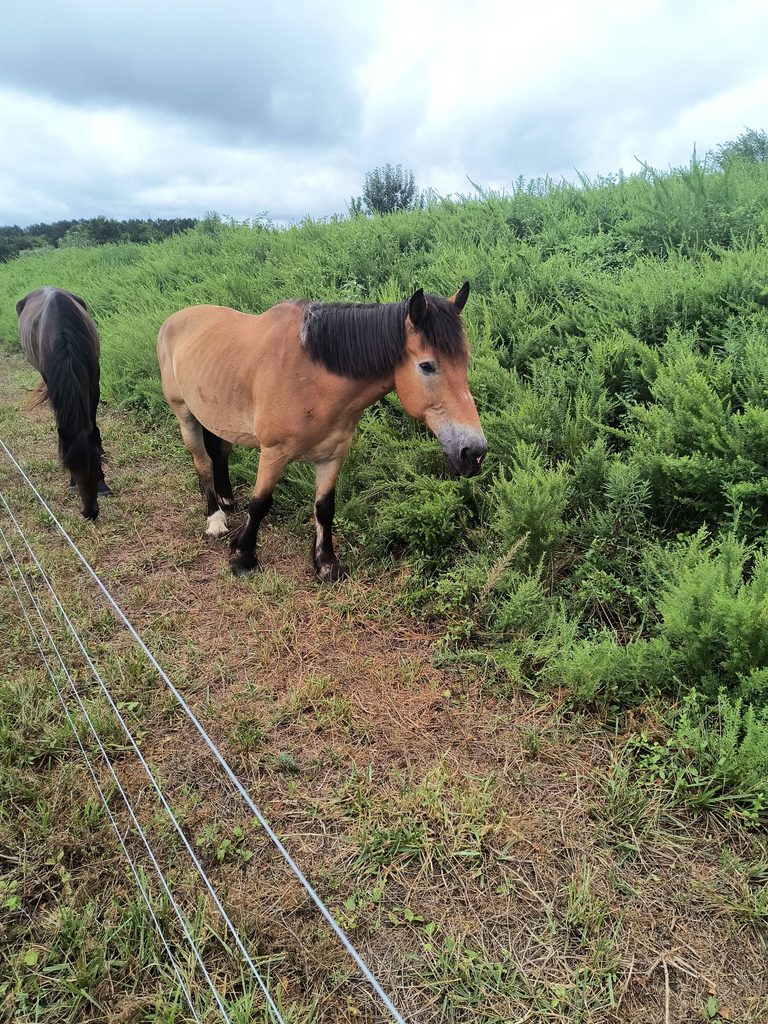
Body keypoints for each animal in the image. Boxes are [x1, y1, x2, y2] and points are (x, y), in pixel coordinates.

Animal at [157, 283, 487, 579]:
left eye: (465, 362)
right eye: (427, 366)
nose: (475, 452)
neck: (310, 377)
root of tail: (173, 319)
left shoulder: (332, 454)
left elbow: (324, 508)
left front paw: (326, 564)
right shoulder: (273, 453)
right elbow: (260, 504)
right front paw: (243, 557)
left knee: (220, 452)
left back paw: (226, 500)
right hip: (184, 413)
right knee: (202, 461)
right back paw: (215, 520)